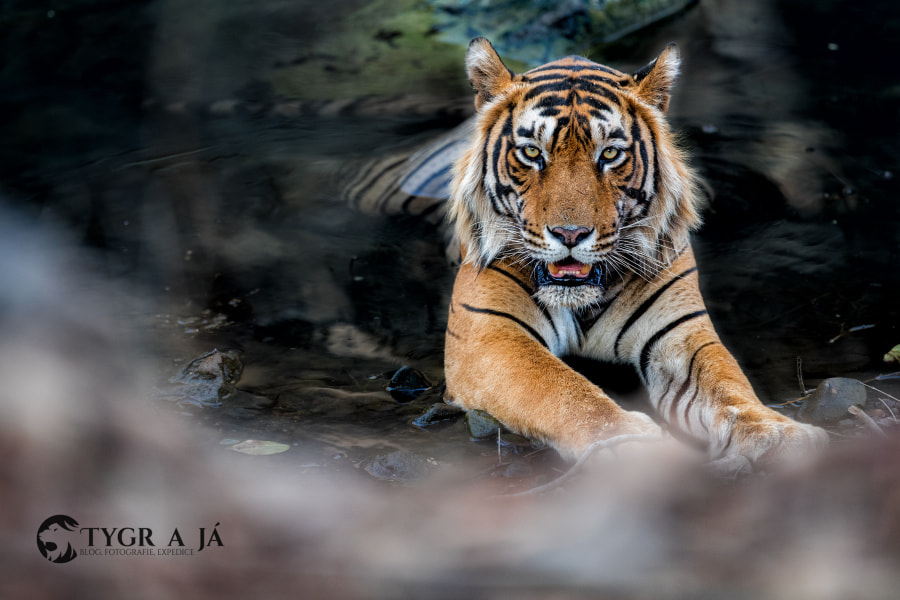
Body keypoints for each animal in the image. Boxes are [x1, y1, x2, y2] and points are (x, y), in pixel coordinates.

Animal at [345, 38, 828, 465]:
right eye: (532, 152)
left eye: (610, 154)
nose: (570, 233)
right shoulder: (489, 335)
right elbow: (562, 390)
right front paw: (631, 443)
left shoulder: (681, 332)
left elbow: (728, 384)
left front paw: (778, 434)